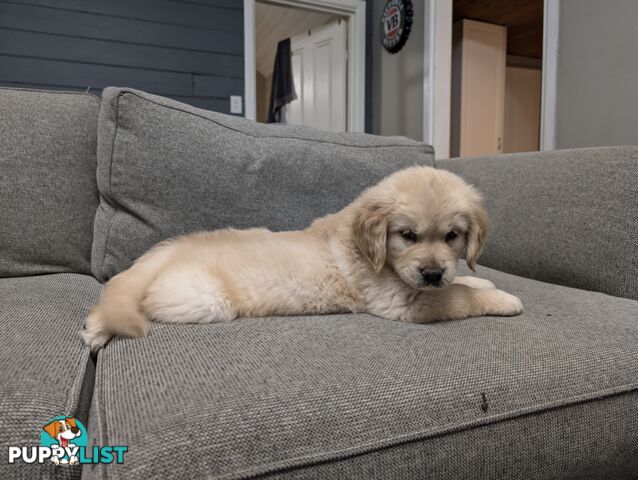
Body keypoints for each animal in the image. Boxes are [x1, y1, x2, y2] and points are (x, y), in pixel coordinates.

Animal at [82, 167, 524, 350]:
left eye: (452, 236)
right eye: (408, 235)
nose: (432, 272)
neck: (367, 249)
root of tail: (167, 250)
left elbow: (462, 281)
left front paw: (481, 279)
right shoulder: (402, 303)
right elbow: (457, 296)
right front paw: (503, 299)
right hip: (203, 300)